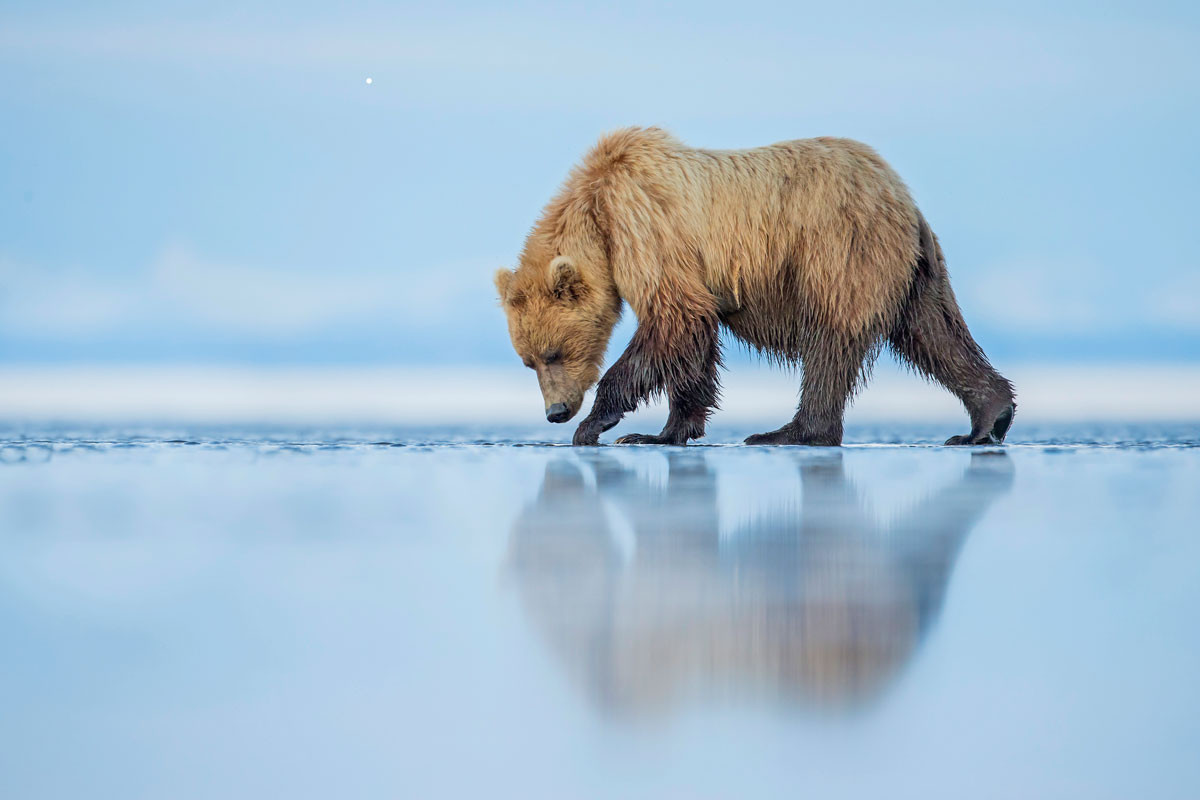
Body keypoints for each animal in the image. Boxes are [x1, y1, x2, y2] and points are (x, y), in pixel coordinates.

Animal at [494, 128, 1012, 448]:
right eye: (528, 360)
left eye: (555, 352)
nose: (555, 411)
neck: (597, 213)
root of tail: (902, 194)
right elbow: (693, 340)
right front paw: (664, 431)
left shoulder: (645, 228)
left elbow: (673, 319)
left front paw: (598, 424)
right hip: (914, 269)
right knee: (933, 332)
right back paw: (988, 418)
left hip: (838, 249)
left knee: (830, 341)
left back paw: (790, 431)